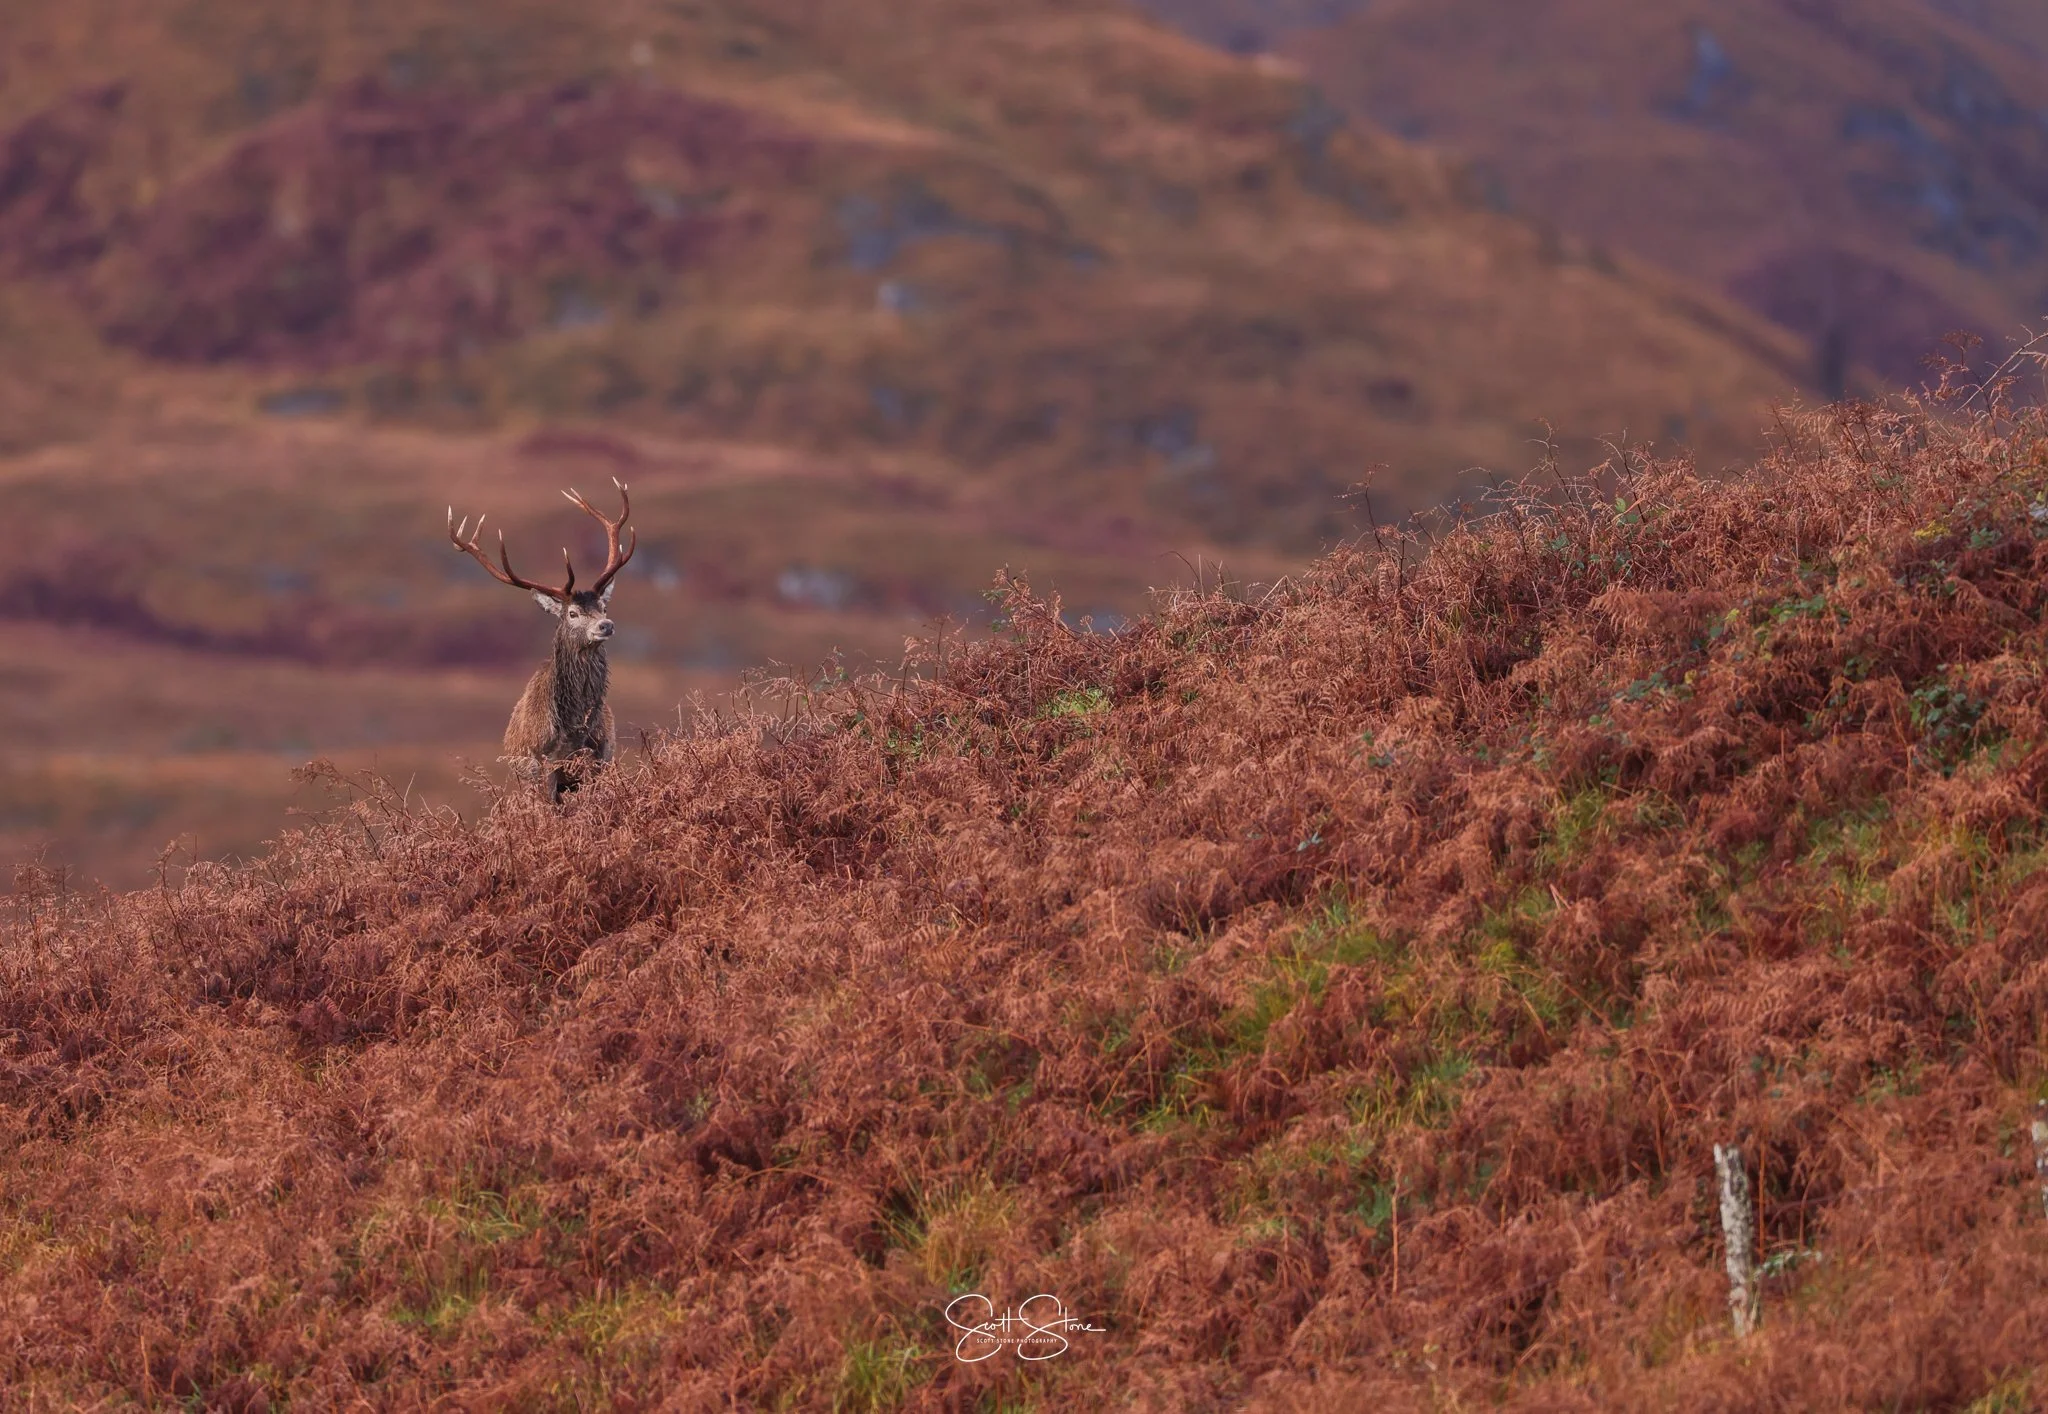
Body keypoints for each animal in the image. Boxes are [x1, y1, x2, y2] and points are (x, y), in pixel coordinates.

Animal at [448, 478, 637, 803]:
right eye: (572, 613)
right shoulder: (542, 764)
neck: (572, 731)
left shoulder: (600, 757)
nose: (606, 625)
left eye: (603, 607)